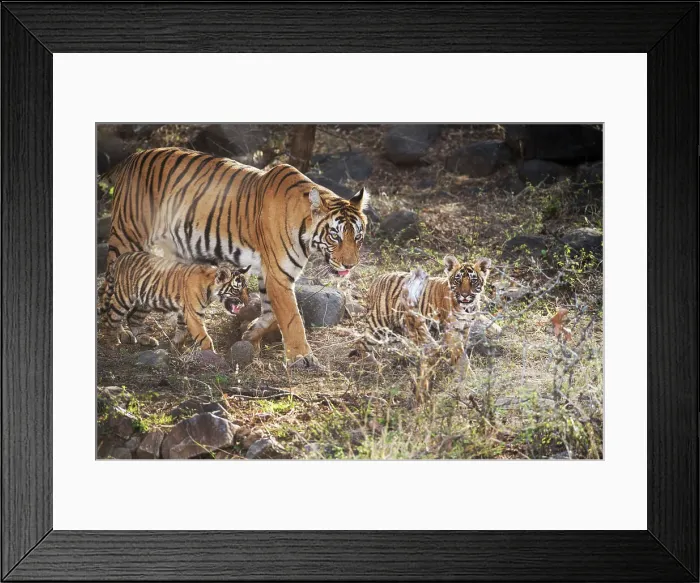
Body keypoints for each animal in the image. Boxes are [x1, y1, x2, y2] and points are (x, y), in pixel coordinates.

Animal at [101, 250, 250, 352]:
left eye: (246, 289)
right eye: (236, 290)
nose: (247, 303)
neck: (210, 290)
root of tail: (121, 257)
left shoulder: (184, 313)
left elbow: (182, 330)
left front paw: (176, 346)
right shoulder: (194, 315)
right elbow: (204, 337)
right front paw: (212, 355)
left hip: (144, 303)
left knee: (132, 317)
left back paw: (146, 339)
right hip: (123, 298)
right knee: (111, 317)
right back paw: (113, 341)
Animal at [351, 255, 492, 363]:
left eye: (473, 281)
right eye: (458, 280)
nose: (464, 295)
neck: (468, 307)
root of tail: (377, 279)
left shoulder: (466, 327)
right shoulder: (452, 329)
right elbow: (458, 351)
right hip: (380, 324)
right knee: (361, 342)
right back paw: (372, 364)